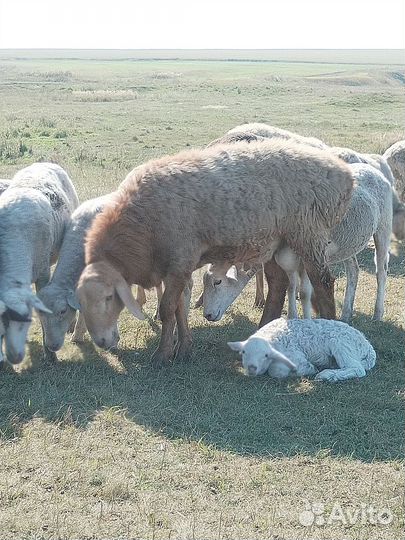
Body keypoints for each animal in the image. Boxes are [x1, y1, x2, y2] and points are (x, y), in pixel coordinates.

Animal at [76, 139, 354, 368]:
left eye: (109, 297)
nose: (101, 342)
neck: (140, 226)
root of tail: (343, 172)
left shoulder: (179, 260)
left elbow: (167, 309)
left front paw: (163, 354)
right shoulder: (176, 266)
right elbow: (180, 308)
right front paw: (184, 349)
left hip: (309, 234)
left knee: (323, 283)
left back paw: (332, 326)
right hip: (276, 240)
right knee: (278, 284)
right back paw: (262, 331)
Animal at [204, 162, 392, 322]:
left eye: (217, 282)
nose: (208, 315)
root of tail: (371, 168)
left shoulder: (308, 259)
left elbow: (304, 292)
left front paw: (306, 320)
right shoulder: (289, 261)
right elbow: (291, 287)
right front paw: (292, 317)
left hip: (383, 227)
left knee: (381, 271)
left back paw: (377, 314)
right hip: (348, 242)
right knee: (353, 270)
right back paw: (346, 314)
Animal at [227, 318, 376, 382]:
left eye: (266, 355)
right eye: (244, 353)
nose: (252, 368)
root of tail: (368, 348)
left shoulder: (295, 356)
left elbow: (276, 371)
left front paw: (308, 370)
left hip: (342, 344)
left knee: (357, 369)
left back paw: (327, 375)